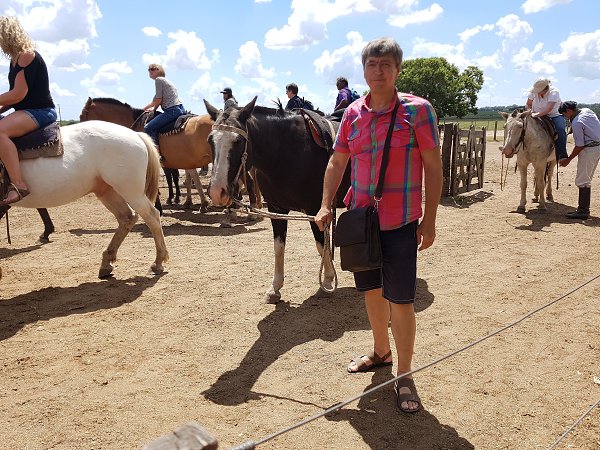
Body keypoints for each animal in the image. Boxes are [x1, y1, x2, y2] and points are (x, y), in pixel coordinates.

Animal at [3, 120, 168, 278]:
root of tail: (135, 134)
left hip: (131, 191)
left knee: (152, 216)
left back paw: (157, 263)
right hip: (108, 191)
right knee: (127, 218)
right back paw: (107, 262)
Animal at [204, 96, 350, 303]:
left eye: (238, 141)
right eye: (210, 140)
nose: (217, 191)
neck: (288, 152)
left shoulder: (316, 210)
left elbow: (321, 244)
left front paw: (328, 280)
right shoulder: (276, 210)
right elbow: (278, 247)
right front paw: (274, 288)